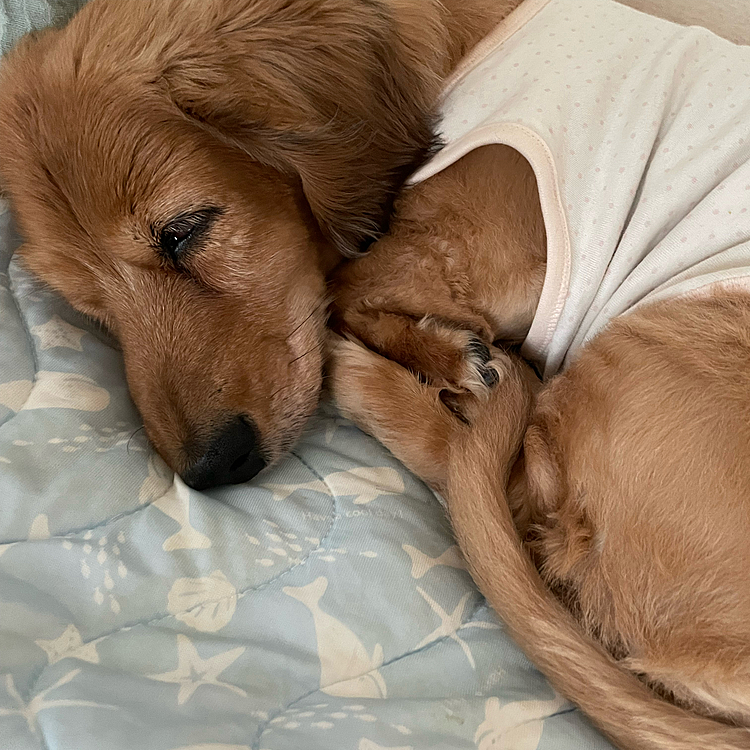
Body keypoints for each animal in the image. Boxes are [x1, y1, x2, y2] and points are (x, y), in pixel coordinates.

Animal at [330, 1, 750, 750]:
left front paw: (439, 353)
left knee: (491, 478)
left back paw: (378, 378)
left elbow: (348, 286)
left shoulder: (477, 249)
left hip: (622, 362)